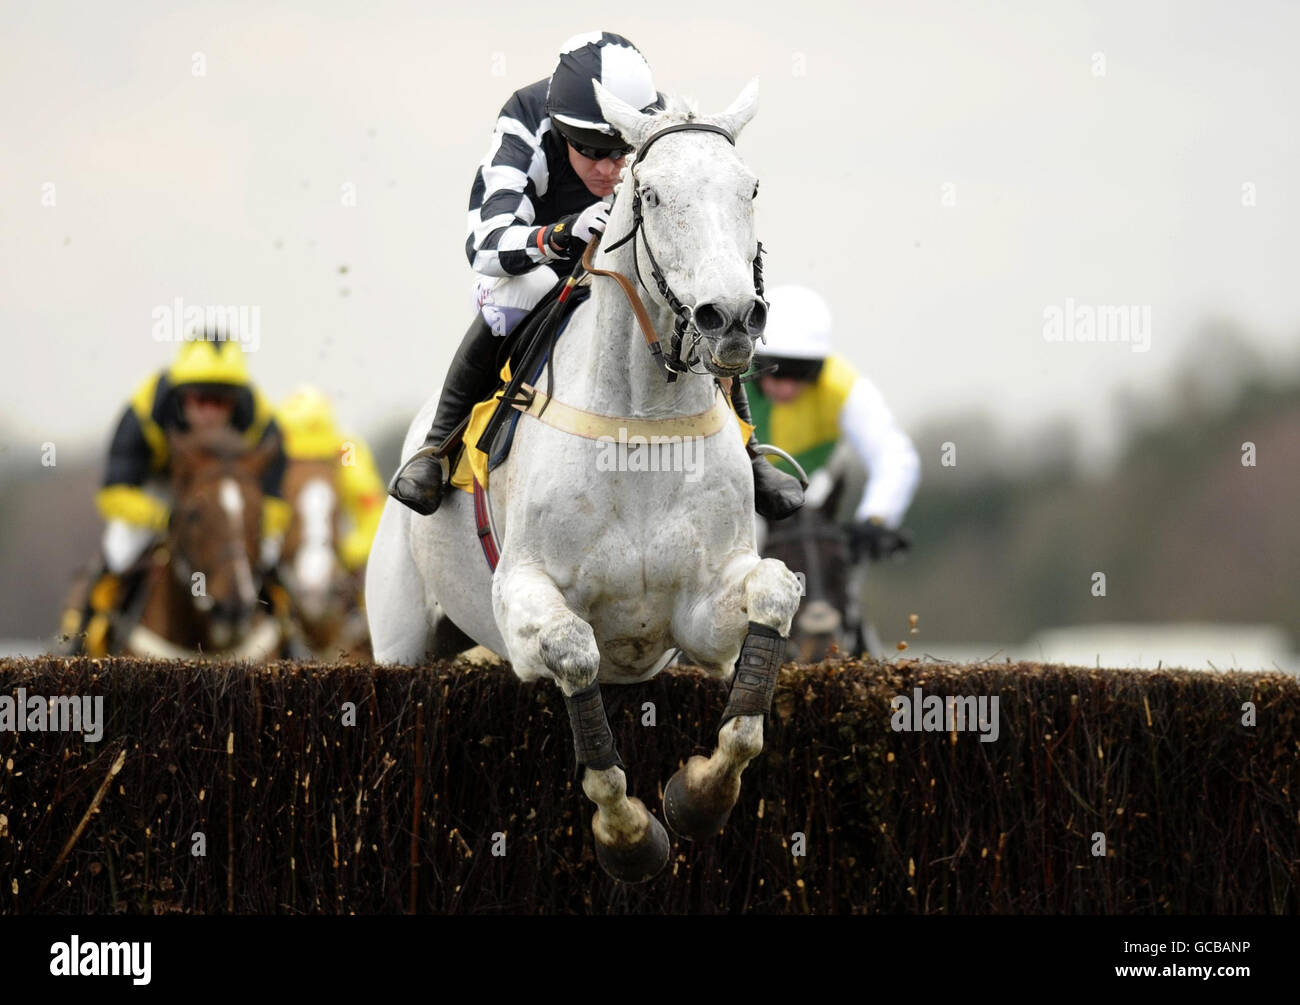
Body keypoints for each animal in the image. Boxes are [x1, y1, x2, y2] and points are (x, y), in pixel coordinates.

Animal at [366, 76, 800, 878]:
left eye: (749, 187)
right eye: (651, 193)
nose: (730, 318)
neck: (641, 426)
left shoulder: (703, 609)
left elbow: (773, 600)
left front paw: (702, 794)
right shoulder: (523, 597)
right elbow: (574, 650)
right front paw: (626, 832)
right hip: (400, 633)